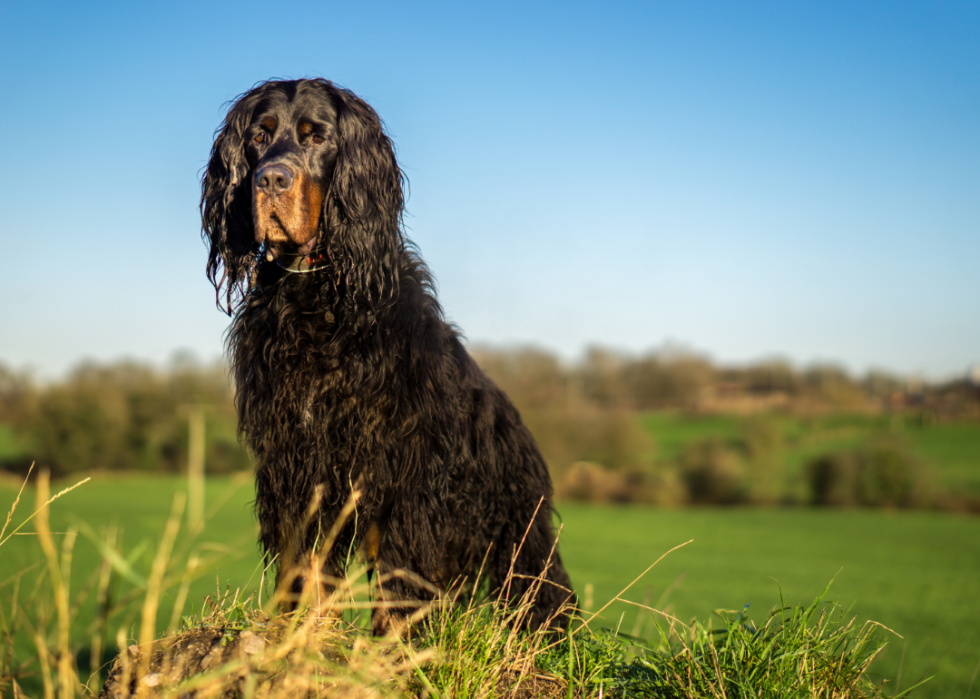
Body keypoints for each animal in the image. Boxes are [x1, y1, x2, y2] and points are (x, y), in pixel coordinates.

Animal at [200, 79, 576, 632]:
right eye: (258, 136)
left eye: (317, 137)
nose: (270, 179)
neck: (316, 296)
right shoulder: (296, 461)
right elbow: (307, 561)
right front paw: (301, 632)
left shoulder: (407, 472)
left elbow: (401, 572)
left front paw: (394, 642)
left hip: (519, 531)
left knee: (543, 591)